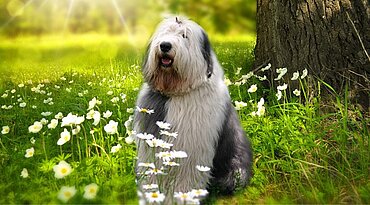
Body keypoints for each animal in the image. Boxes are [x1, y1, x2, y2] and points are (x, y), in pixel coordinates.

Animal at [133, 16, 251, 202]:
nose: (165, 45)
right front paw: (150, 193)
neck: (176, 91)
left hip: (235, 164)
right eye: (164, 33)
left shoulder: (191, 145)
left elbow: (186, 177)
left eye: (184, 35)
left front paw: (181, 198)